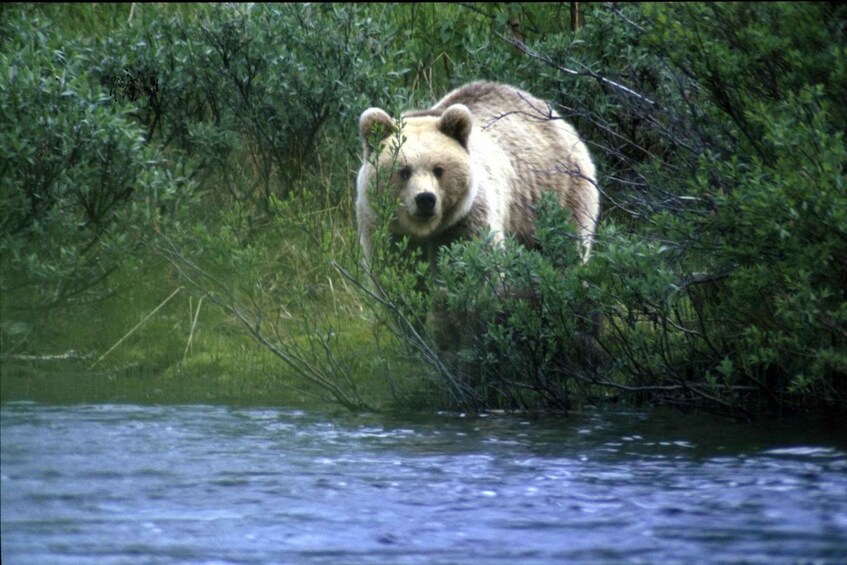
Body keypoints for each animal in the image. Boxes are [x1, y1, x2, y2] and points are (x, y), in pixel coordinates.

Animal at [355, 80, 600, 275]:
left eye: (439, 169)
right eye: (404, 171)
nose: (425, 199)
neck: (426, 233)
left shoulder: (467, 221)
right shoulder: (383, 229)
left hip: (560, 197)